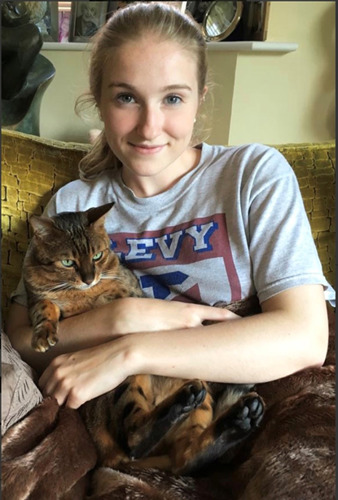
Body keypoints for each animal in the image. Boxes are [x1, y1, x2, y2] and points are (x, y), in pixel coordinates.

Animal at [23, 202, 266, 472]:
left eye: (97, 256)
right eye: (67, 262)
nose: (89, 278)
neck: (81, 293)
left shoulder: (127, 292)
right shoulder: (37, 297)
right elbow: (44, 306)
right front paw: (43, 333)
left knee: (179, 457)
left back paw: (235, 418)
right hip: (129, 385)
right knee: (141, 443)